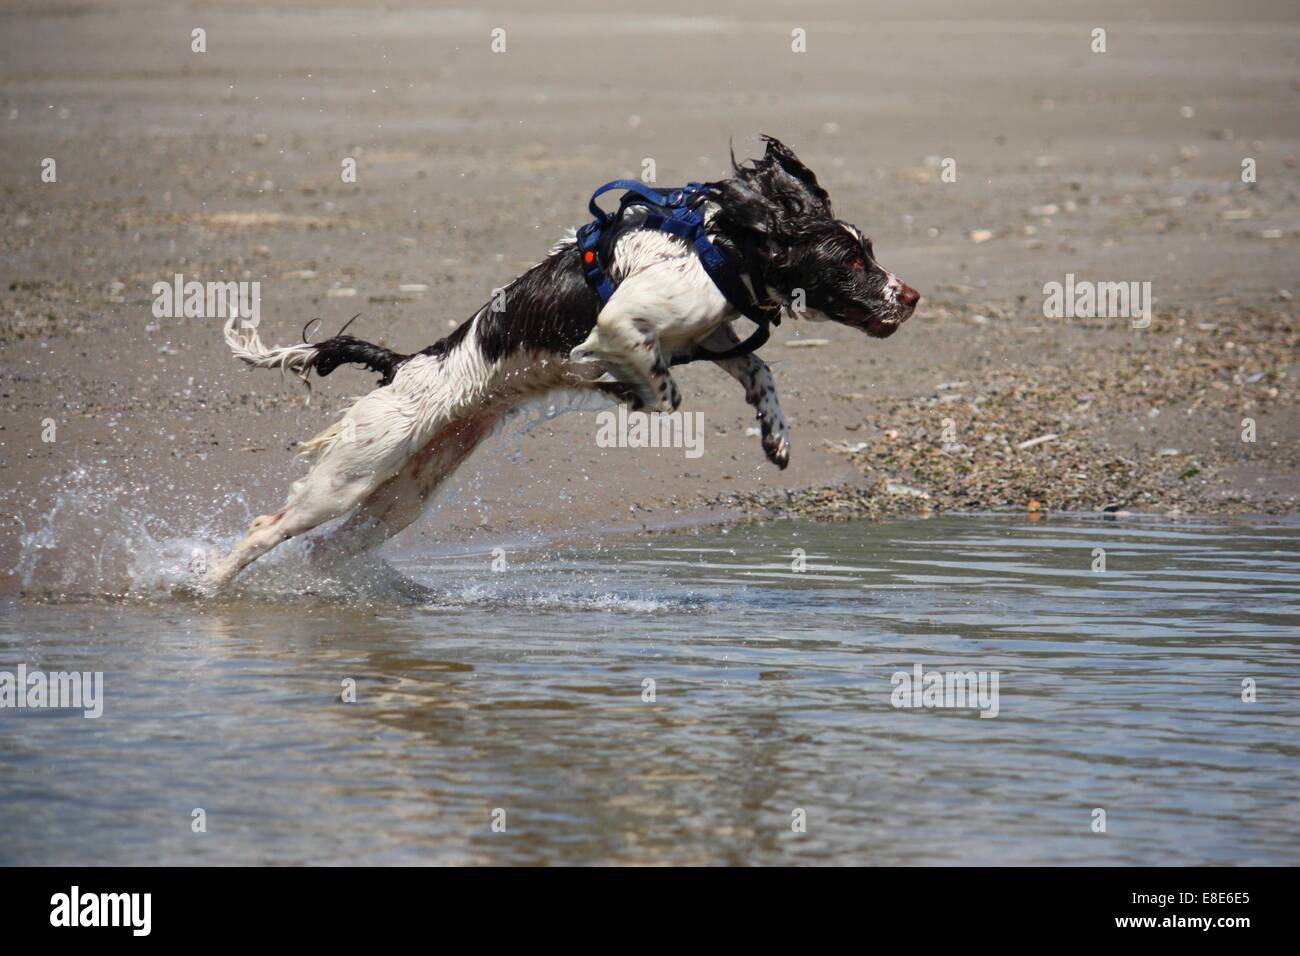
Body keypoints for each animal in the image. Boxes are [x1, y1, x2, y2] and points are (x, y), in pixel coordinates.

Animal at [205, 136, 915, 590]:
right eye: (850, 260)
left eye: (868, 250)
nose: (909, 297)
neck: (720, 246)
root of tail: (404, 364)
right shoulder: (619, 324)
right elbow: (660, 389)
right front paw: (624, 391)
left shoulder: (711, 334)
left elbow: (757, 371)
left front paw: (775, 434)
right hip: (354, 471)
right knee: (269, 526)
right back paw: (209, 584)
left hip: (405, 493)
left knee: (329, 548)